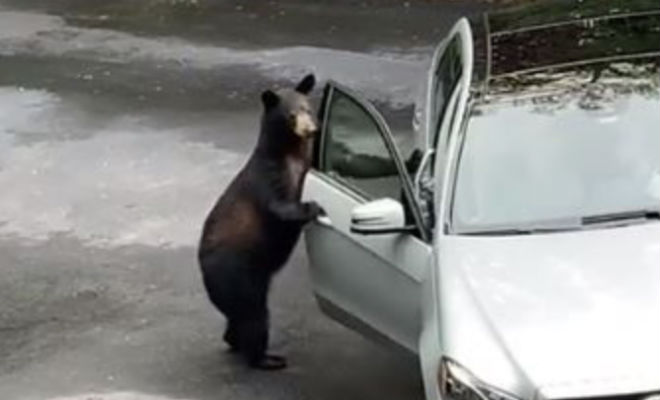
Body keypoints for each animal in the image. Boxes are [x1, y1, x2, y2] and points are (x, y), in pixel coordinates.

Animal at [197, 74, 324, 368]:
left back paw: (234, 340)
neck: (290, 153)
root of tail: (203, 271)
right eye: (291, 115)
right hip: (238, 271)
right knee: (254, 315)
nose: (311, 130)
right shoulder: (269, 175)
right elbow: (279, 207)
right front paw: (312, 206)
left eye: (308, 108)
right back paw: (266, 359)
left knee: (239, 316)